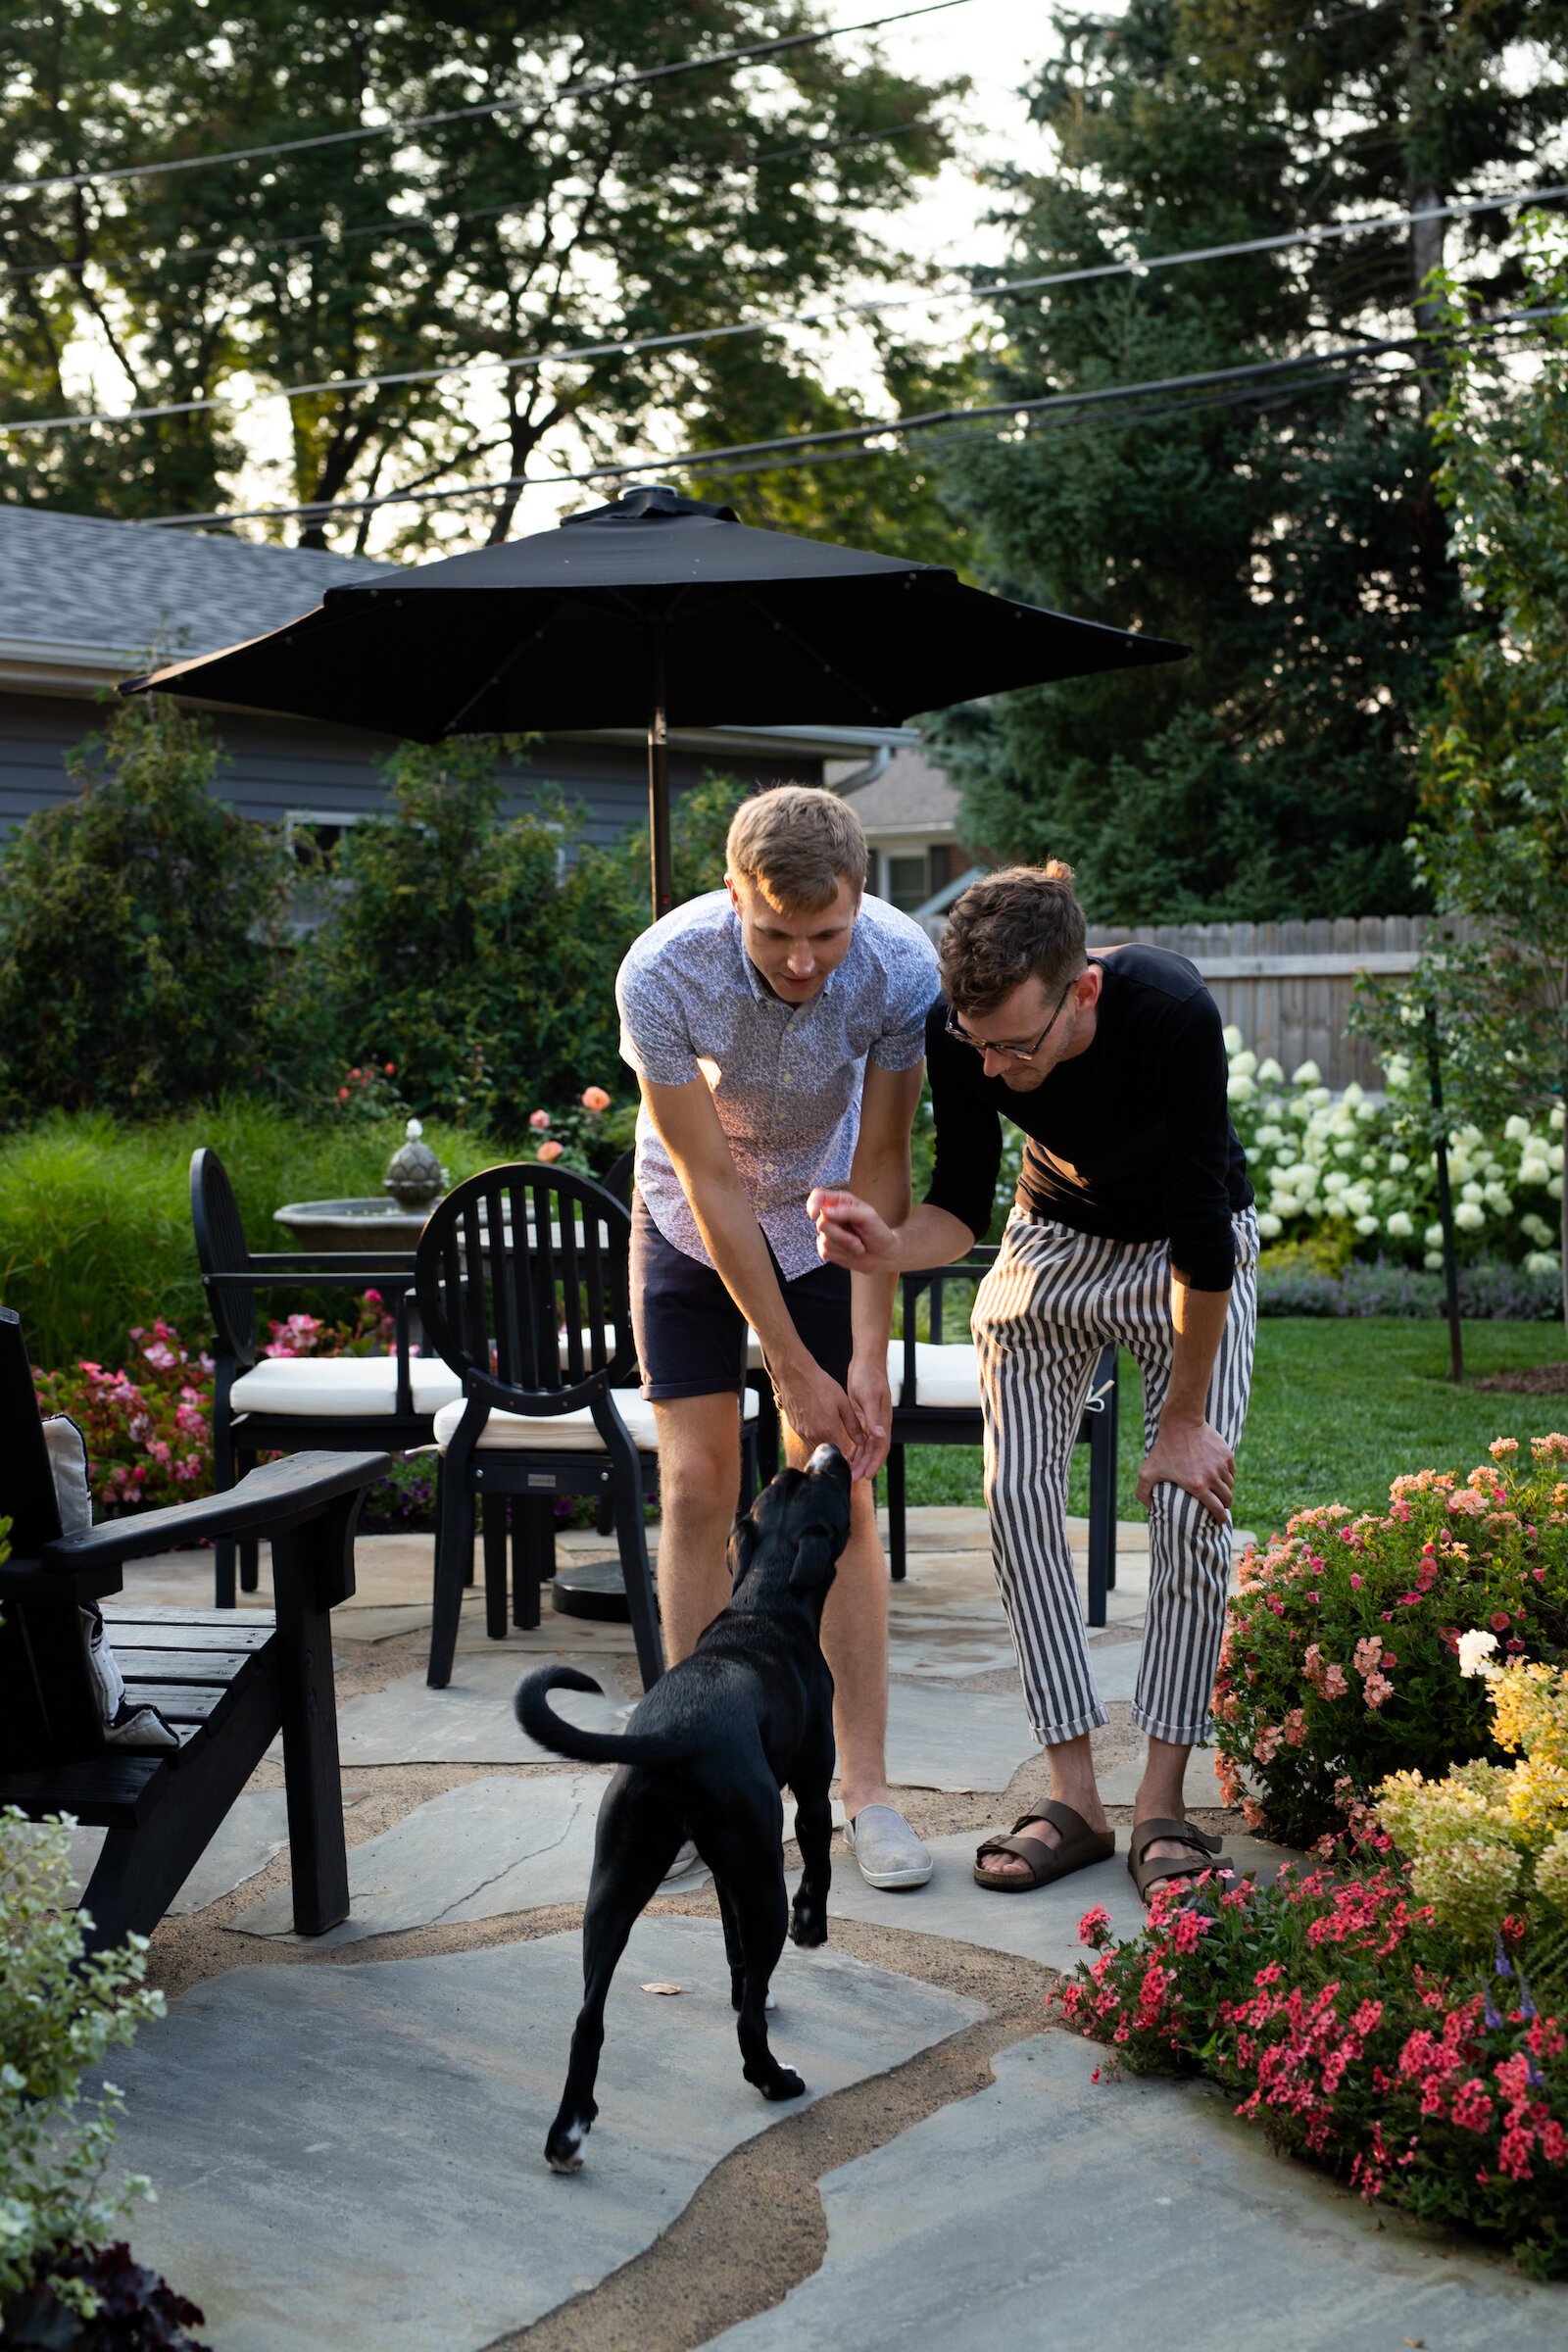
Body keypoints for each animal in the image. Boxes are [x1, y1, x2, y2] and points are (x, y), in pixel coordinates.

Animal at [516, 1439, 851, 2173]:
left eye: (788, 1478)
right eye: (828, 1484)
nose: (829, 1449)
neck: (763, 1602)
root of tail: (675, 1731)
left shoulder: (729, 1868)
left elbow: (734, 1952)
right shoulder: (811, 1794)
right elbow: (818, 1866)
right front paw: (813, 1929)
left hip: (616, 1887)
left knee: (588, 2019)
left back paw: (568, 2136)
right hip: (761, 1880)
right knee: (747, 2029)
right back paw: (776, 2081)